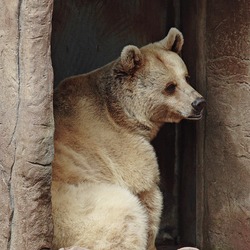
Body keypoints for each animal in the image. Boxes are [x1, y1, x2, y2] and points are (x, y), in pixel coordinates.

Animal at [52, 27, 205, 250]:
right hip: (76, 210)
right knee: (123, 211)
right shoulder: (120, 143)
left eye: (186, 76)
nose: (199, 102)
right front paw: (151, 243)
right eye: (170, 86)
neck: (123, 113)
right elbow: (147, 192)